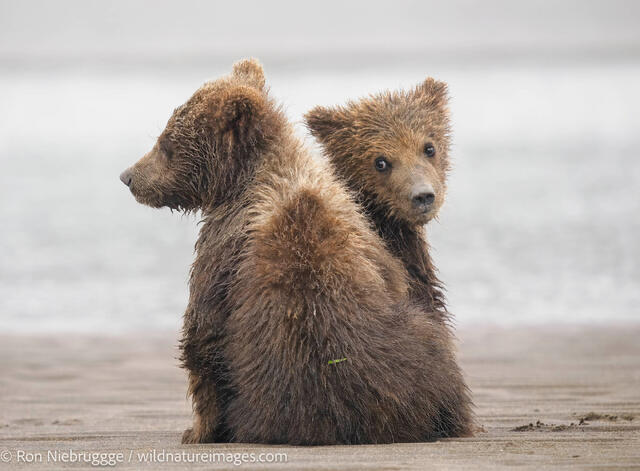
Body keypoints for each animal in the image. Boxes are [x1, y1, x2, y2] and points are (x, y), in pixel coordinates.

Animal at [120, 59, 472, 445]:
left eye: (166, 142)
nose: (128, 176)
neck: (255, 174)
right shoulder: (375, 246)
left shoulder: (223, 242)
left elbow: (203, 331)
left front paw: (196, 431)